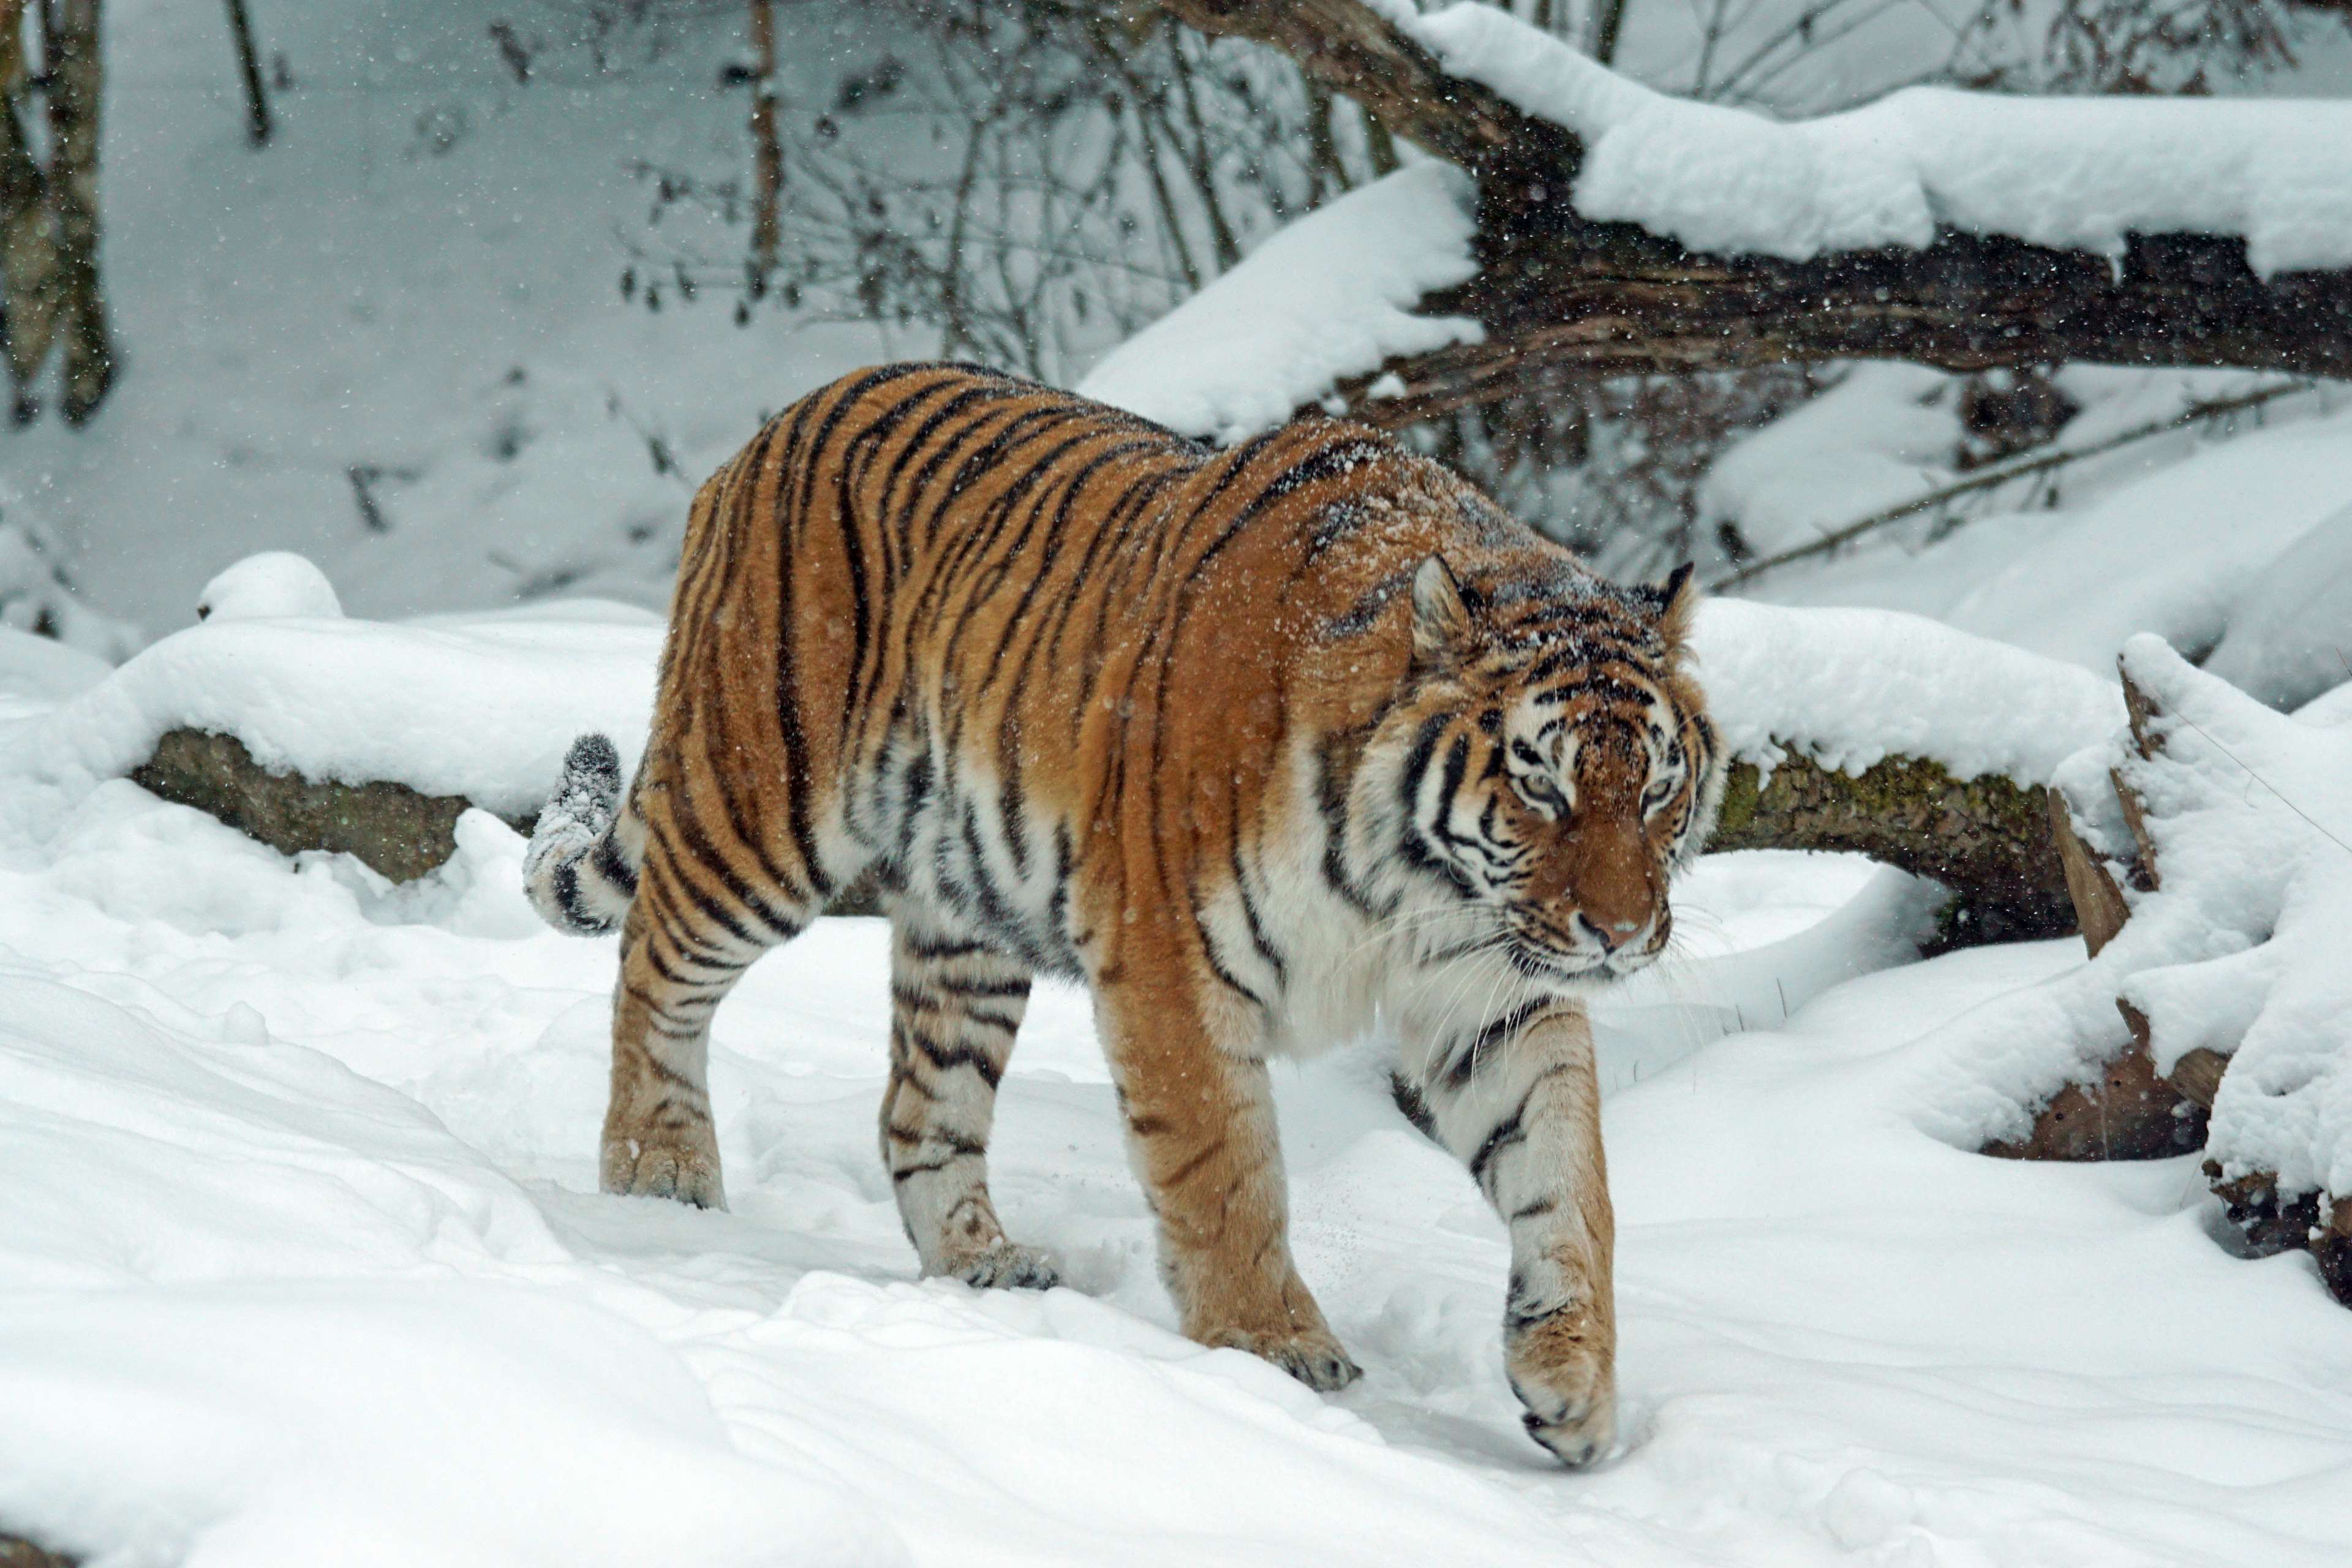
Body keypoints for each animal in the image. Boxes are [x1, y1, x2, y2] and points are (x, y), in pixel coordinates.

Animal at [523, 362, 1721, 1465]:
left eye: (1657, 788)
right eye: (1541, 786)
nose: (1622, 935)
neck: (1417, 887)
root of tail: (773, 428)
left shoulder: (1493, 993)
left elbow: (1568, 1177)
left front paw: (1573, 1381)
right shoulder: (1170, 962)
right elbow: (1226, 1172)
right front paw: (1272, 1349)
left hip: (966, 921)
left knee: (920, 1107)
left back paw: (983, 1265)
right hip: (761, 806)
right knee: (654, 970)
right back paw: (657, 1175)